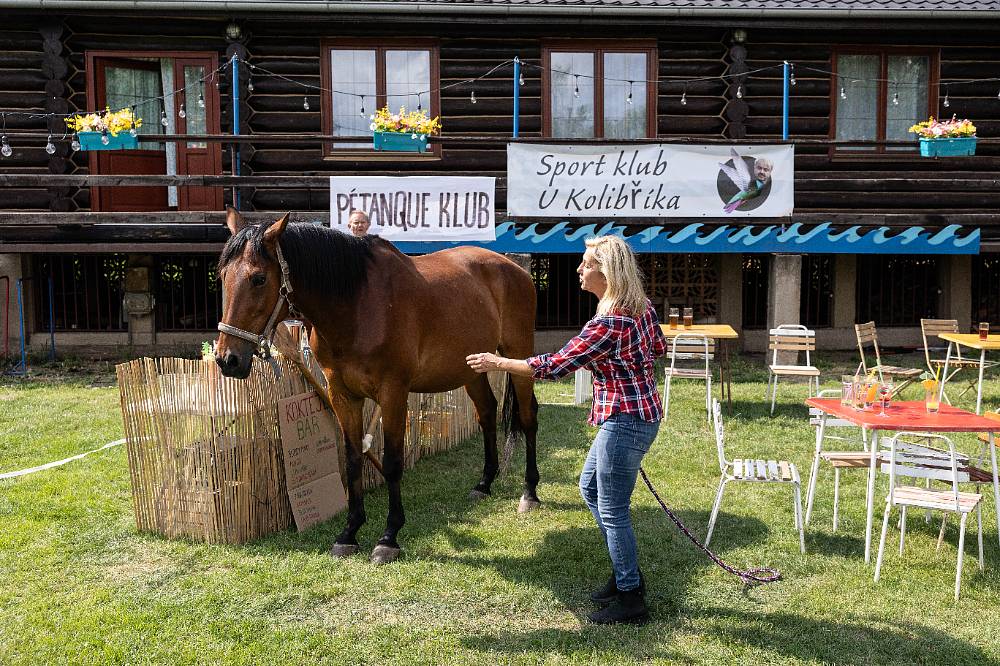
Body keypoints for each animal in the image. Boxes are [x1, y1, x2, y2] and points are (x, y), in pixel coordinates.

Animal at [212, 208, 540, 560]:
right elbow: (353, 458)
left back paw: (529, 493)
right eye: (222, 276)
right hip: (472, 367)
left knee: (528, 417)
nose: (227, 359)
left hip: (519, 358)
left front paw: (388, 537)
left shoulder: (393, 393)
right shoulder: (342, 395)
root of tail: (513, 268)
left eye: (259, 278)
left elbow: (392, 462)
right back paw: (483, 484)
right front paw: (349, 532)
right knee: (487, 413)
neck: (357, 307)